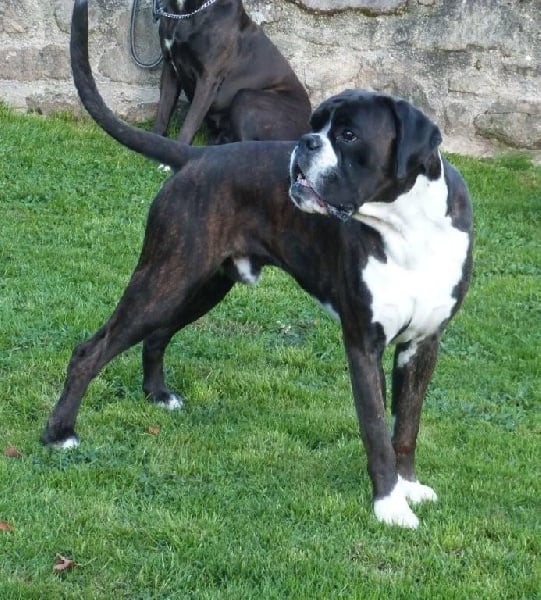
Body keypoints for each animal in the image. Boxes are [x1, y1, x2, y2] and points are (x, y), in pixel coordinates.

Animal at [151, 0, 312, 143]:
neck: (185, 13)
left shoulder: (208, 78)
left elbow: (189, 124)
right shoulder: (170, 68)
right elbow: (163, 113)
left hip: (248, 98)